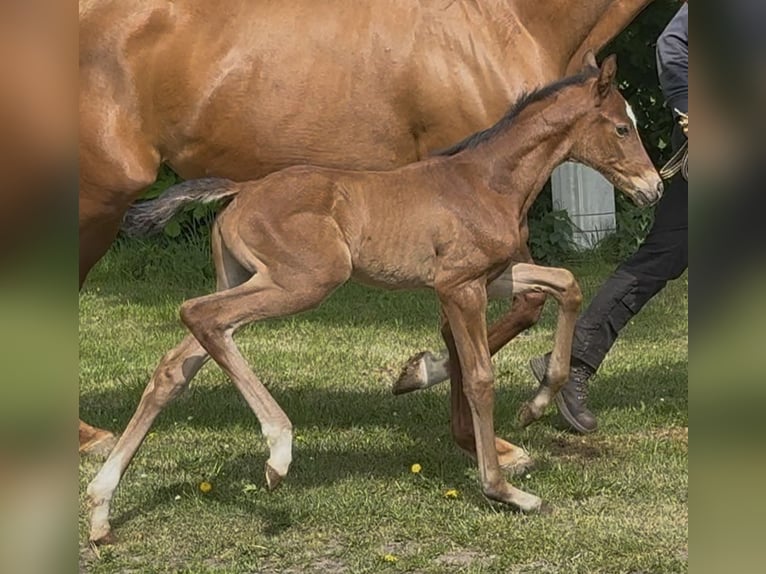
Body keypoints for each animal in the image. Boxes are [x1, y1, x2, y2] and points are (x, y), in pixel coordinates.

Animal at [86, 54, 663, 543]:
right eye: (622, 127)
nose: (653, 188)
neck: (486, 181)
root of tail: (240, 192)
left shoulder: (492, 276)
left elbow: (566, 283)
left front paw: (536, 405)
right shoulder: (458, 285)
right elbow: (478, 377)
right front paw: (505, 490)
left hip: (245, 277)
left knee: (175, 364)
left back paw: (100, 510)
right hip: (307, 280)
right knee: (200, 314)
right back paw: (278, 450)